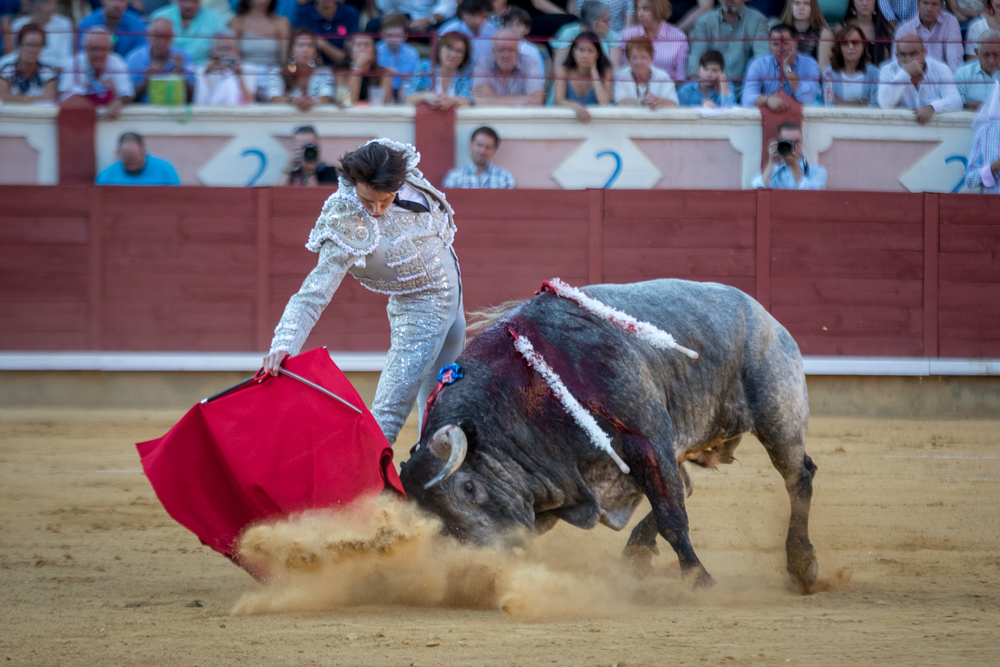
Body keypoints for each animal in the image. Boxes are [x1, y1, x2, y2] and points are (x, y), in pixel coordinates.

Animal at [398, 280, 820, 592]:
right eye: (437, 522)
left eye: (468, 488)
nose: (483, 569)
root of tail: (764, 314)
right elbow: (670, 501)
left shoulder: (648, 437)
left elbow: (672, 515)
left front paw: (700, 581)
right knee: (688, 485)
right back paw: (636, 553)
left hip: (778, 414)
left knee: (798, 477)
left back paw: (803, 565)